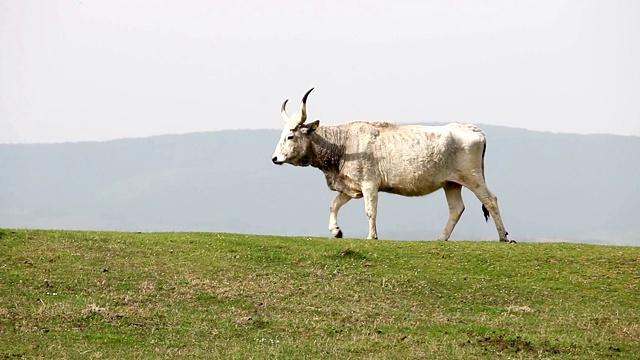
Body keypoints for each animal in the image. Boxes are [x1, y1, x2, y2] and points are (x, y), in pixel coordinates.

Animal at [272, 88, 516, 243]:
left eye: (291, 136)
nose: (274, 158)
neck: (342, 144)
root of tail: (473, 129)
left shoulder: (369, 184)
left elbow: (370, 211)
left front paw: (372, 236)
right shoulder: (351, 186)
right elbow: (333, 205)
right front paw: (336, 231)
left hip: (472, 177)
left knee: (490, 200)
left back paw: (504, 236)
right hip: (451, 183)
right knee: (457, 209)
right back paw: (441, 238)